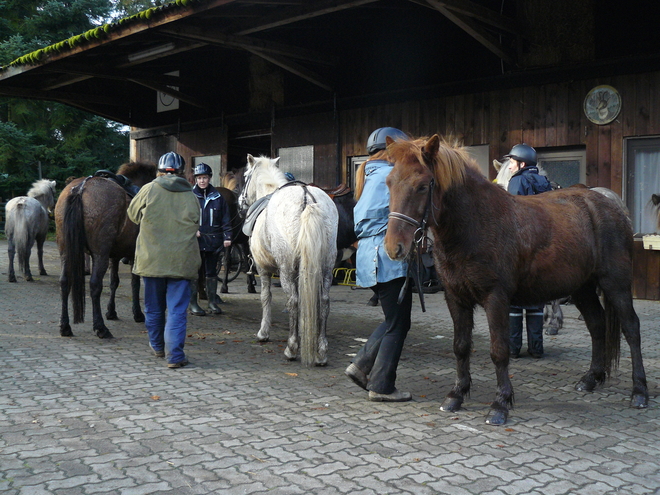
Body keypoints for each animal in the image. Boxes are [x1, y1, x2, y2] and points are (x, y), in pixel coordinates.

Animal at [54, 163, 157, 340]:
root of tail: (80, 189)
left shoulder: (114, 257)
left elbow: (114, 282)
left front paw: (111, 312)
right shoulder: (133, 256)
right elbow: (135, 283)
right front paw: (137, 313)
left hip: (66, 252)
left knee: (64, 282)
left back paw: (65, 326)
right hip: (99, 254)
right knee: (95, 285)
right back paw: (100, 327)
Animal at [238, 155, 338, 368]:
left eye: (245, 175)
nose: (240, 203)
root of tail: (306, 197)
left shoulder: (263, 268)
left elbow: (266, 297)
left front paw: (263, 333)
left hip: (286, 270)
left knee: (293, 301)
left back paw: (291, 349)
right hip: (326, 267)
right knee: (324, 301)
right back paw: (321, 352)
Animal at [384, 136, 648, 426]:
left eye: (422, 186)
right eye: (389, 183)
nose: (394, 248)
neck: (476, 223)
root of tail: (611, 206)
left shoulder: (496, 298)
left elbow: (499, 351)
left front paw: (500, 404)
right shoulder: (455, 298)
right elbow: (461, 346)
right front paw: (456, 395)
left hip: (615, 284)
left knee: (631, 329)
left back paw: (639, 392)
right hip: (583, 288)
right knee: (597, 325)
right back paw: (591, 379)